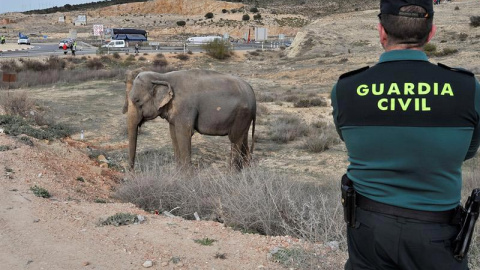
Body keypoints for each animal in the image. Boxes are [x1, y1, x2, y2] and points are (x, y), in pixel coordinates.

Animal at [126, 69, 255, 171]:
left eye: (137, 101)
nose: (132, 172)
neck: (162, 76)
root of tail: (251, 90)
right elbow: (173, 134)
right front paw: (178, 172)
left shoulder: (185, 108)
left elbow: (184, 134)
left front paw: (187, 175)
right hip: (245, 117)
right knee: (243, 137)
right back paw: (246, 169)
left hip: (241, 113)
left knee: (235, 139)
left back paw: (232, 173)